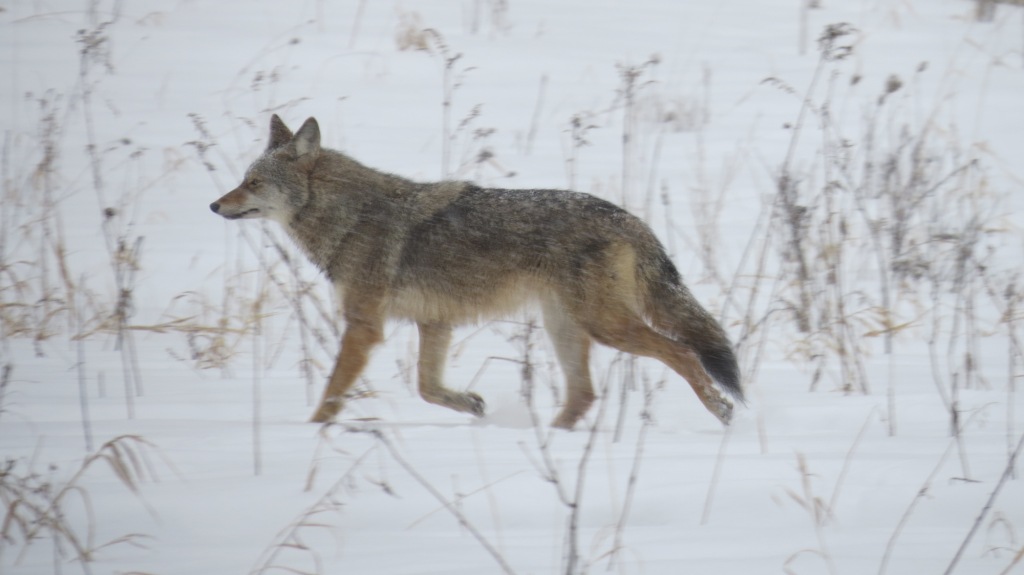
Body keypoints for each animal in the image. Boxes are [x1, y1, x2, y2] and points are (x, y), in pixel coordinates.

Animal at [210, 115, 742, 429]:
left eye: (253, 182)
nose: (214, 205)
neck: (348, 218)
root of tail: (629, 218)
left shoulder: (364, 327)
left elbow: (331, 394)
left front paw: (313, 435)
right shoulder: (434, 323)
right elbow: (427, 389)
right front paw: (471, 405)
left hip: (603, 326)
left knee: (682, 354)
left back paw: (720, 410)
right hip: (567, 327)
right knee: (585, 395)